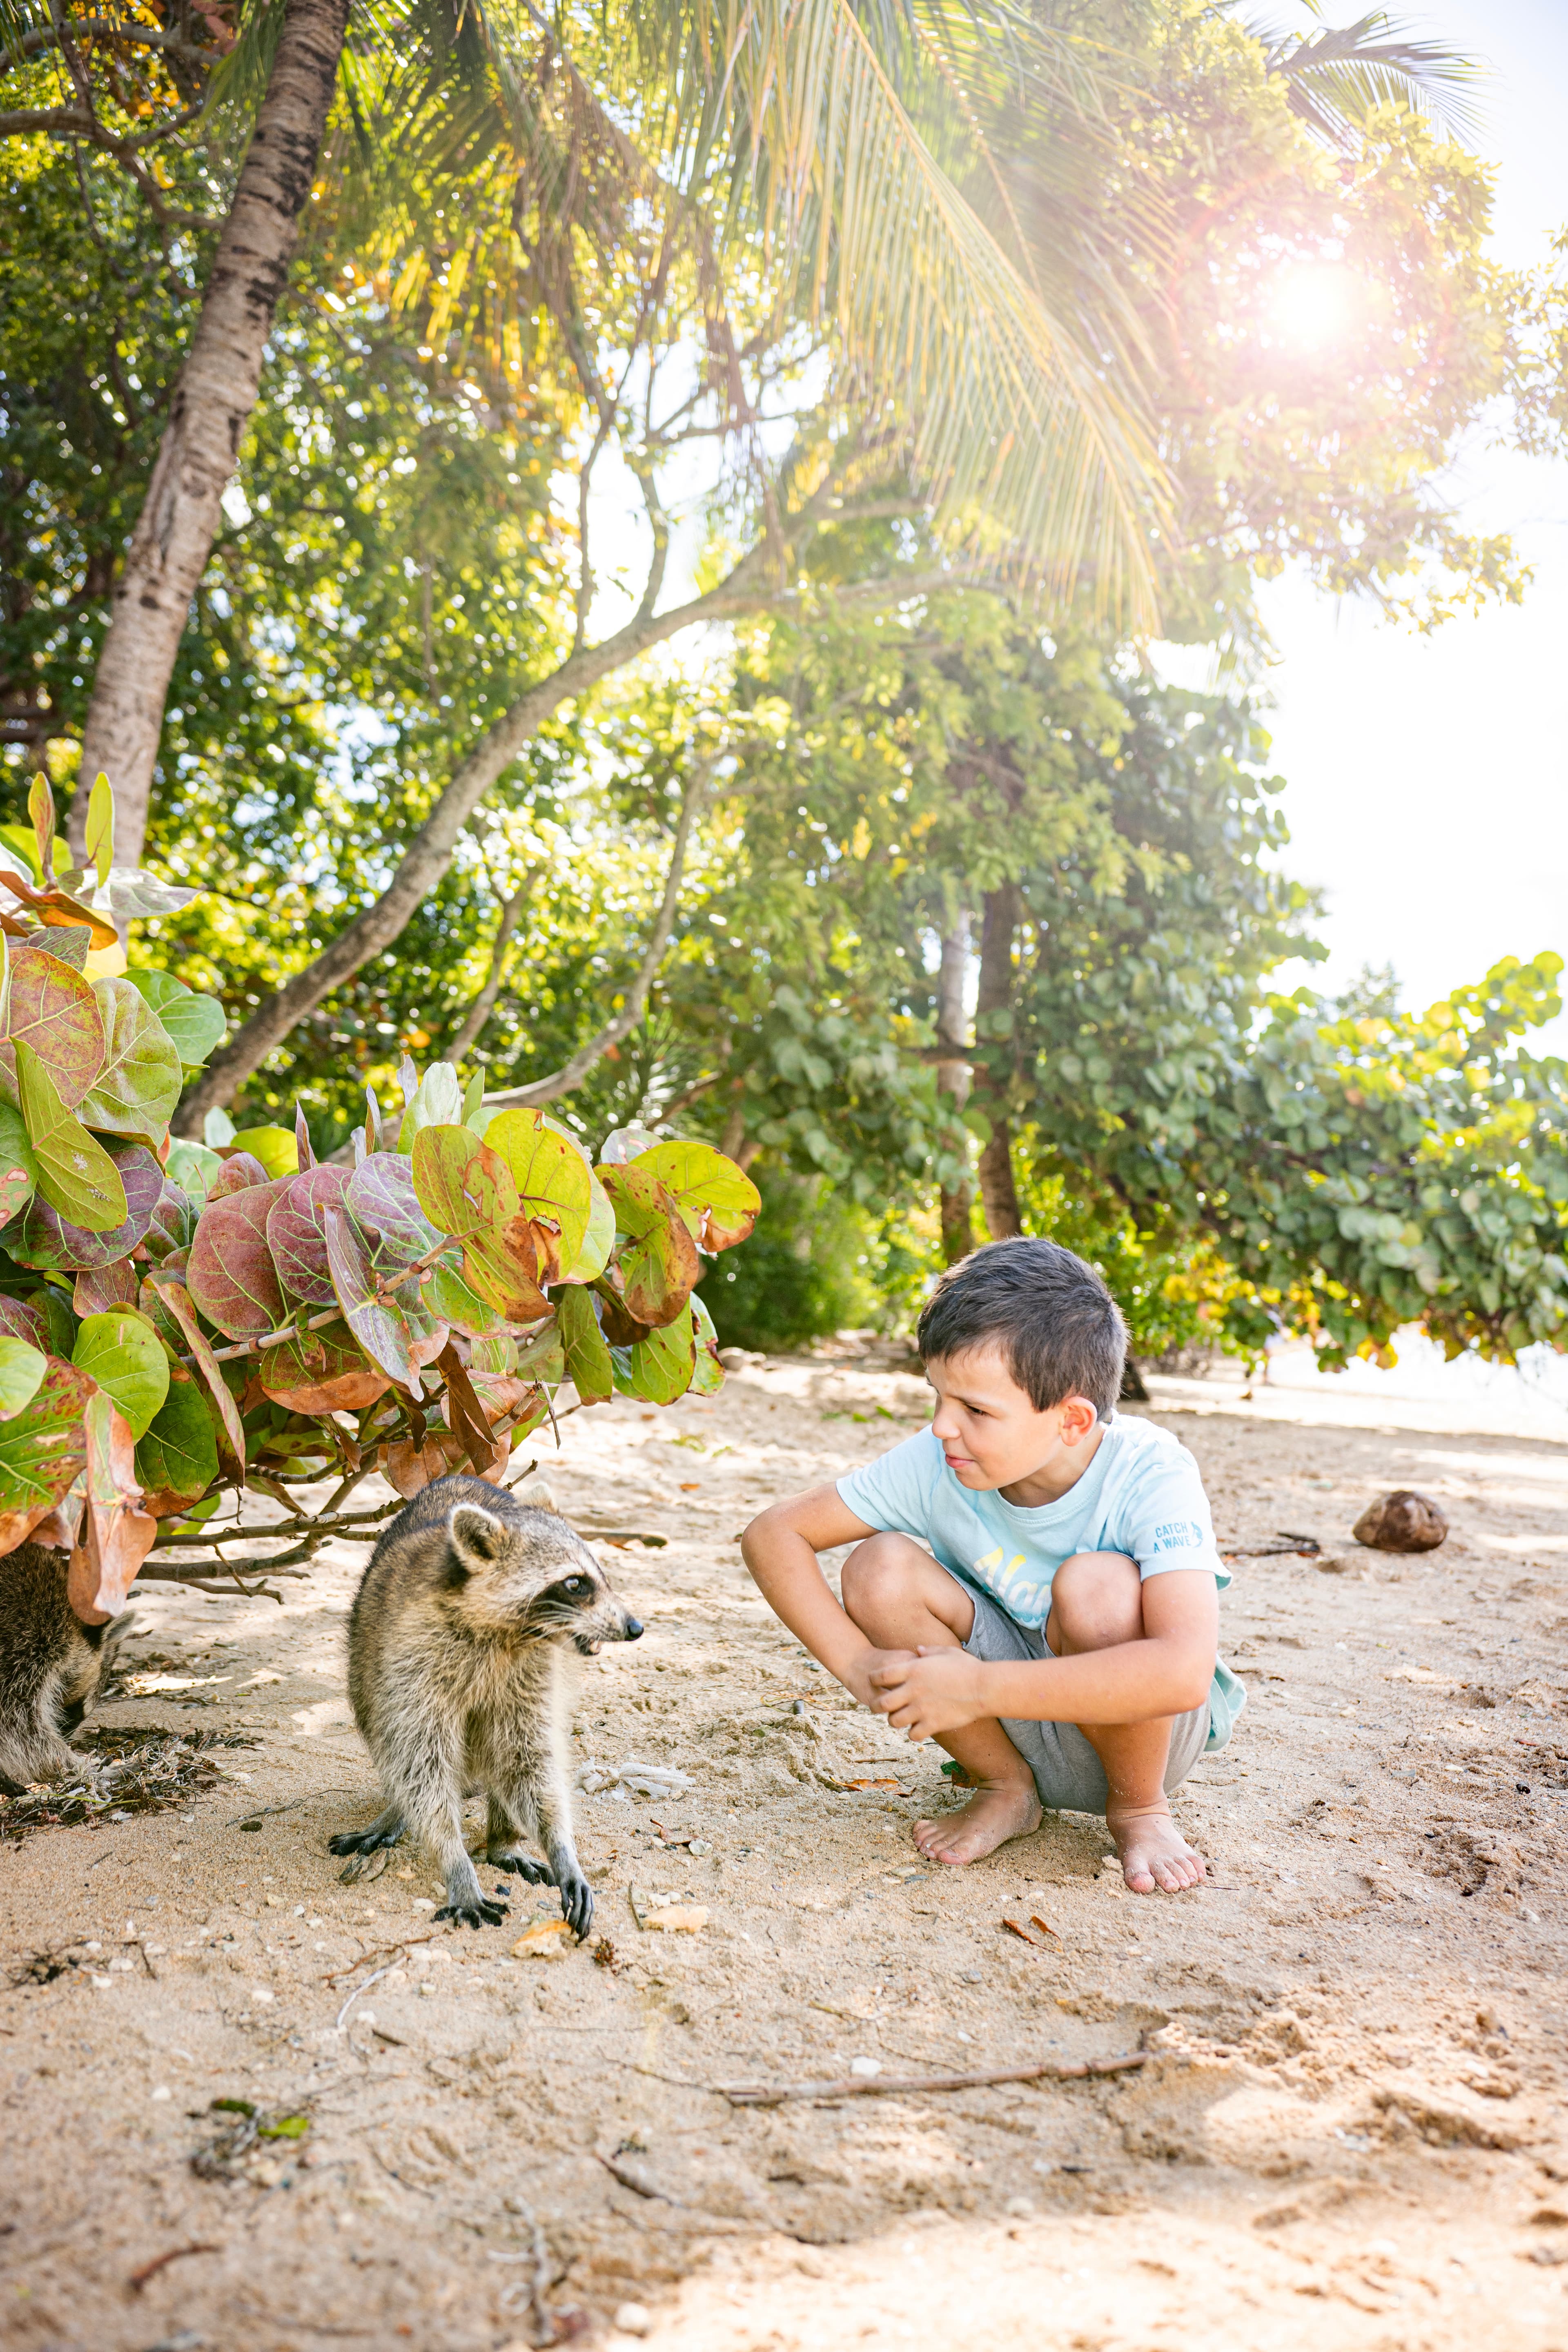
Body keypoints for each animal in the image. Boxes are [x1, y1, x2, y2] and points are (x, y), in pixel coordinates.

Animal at [328, 1476, 643, 1935]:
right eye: (575, 1584)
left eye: (601, 1575)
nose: (635, 1628)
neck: (509, 1632)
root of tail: (462, 1477)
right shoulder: (412, 1659)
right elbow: (421, 1765)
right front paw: (455, 1863)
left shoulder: (532, 1672)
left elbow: (529, 1759)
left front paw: (561, 1848)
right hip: (365, 1660)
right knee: (389, 1741)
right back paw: (400, 1812)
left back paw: (501, 1842)